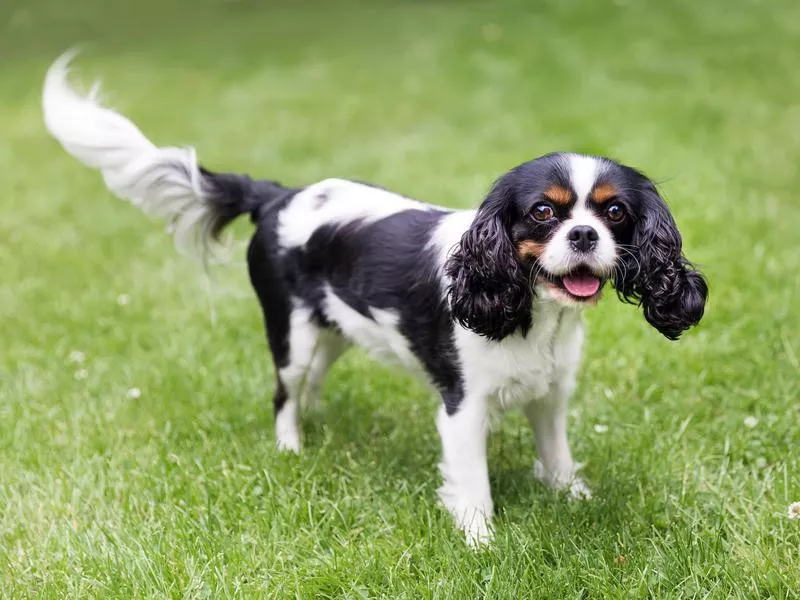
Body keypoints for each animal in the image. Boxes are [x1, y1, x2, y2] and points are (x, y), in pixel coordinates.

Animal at [42, 55, 708, 544]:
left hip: (335, 332)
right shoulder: (463, 406)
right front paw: (481, 542)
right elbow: (473, 484)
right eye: (544, 213)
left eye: (614, 213)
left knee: (310, 384)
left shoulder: (550, 393)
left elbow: (559, 455)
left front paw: (572, 498)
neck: (532, 310)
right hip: (292, 335)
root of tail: (278, 196)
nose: (584, 235)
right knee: (284, 392)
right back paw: (292, 449)